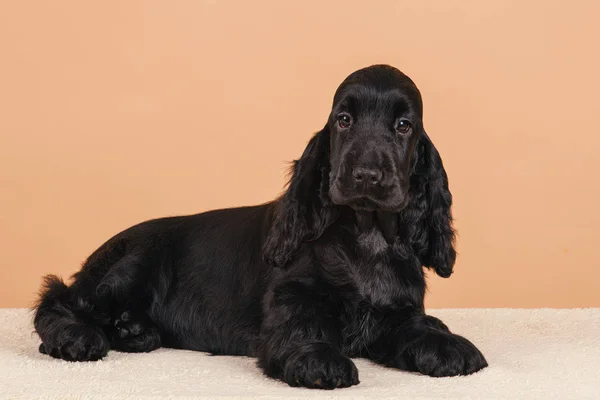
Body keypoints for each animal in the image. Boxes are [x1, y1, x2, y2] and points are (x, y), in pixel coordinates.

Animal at [34, 65, 488, 388]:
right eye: (343, 120)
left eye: (403, 126)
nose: (366, 176)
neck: (367, 234)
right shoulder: (290, 294)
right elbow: (301, 322)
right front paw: (319, 358)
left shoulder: (398, 310)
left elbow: (419, 325)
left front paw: (450, 346)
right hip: (134, 264)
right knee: (59, 300)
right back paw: (77, 337)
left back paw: (134, 331)